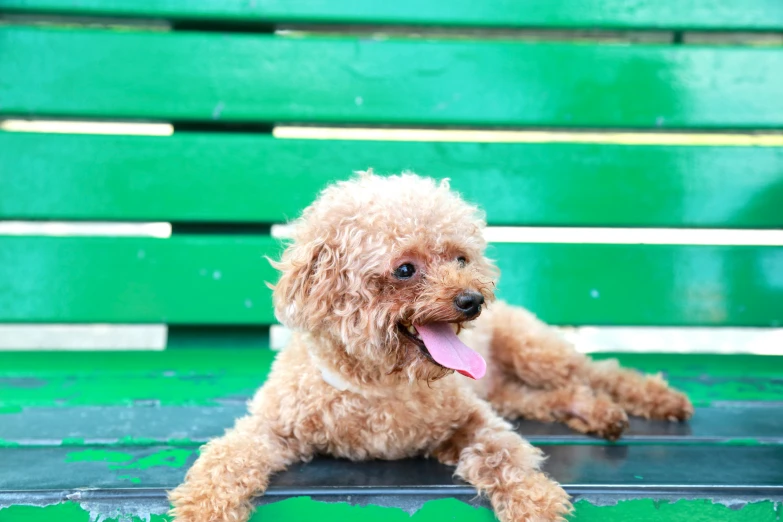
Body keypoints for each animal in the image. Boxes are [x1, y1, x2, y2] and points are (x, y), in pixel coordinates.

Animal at [172, 169, 692, 516]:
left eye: (461, 258)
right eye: (405, 269)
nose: (473, 300)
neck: (379, 383)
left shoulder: (471, 419)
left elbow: (504, 453)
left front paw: (535, 501)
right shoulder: (273, 427)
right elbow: (226, 458)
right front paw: (202, 506)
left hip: (534, 352)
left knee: (595, 372)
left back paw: (656, 399)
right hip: (504, 389)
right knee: (553, 397)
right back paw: (599, 414)